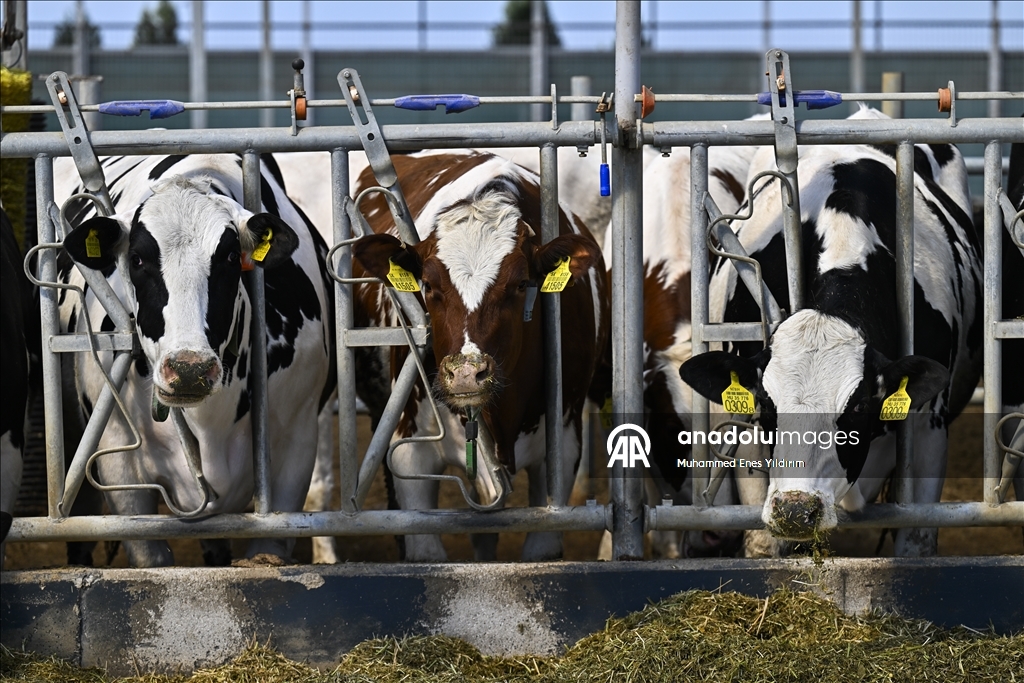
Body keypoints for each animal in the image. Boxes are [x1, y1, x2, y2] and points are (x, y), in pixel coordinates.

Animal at [679, 107, 983, 557]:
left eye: (856, 408)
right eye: (767, 406)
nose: (795, 510)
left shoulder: (929, 424)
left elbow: (915, 540)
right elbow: (762, 543)